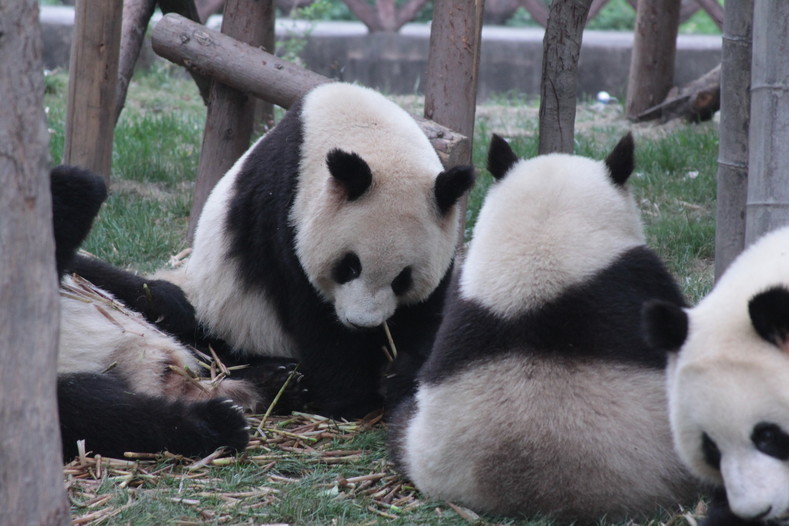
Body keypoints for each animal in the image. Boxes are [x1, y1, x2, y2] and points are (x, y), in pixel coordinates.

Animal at [52, 166, 254, 462]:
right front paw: (72, 185)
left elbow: (91, 269)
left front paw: (168, 299)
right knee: (101, 413)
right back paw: (217, 423)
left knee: (214, 347)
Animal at [166, 83, 474, 420]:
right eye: (349, 266)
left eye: (402, 279)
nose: (361, 324)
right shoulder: (286, 220)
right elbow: (318, 323)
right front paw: (352, 401)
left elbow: (424, 315)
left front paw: (399, 376)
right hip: (224, 312)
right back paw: (283, 381)